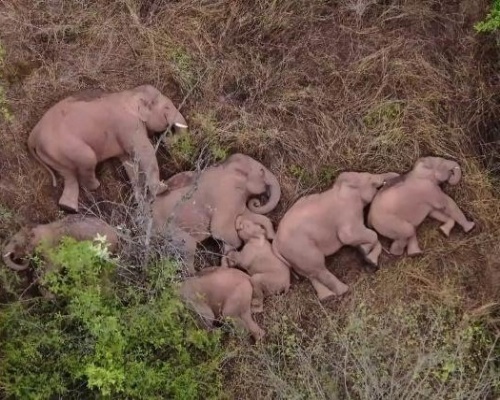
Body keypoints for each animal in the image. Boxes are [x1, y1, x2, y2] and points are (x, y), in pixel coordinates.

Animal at [29, 84, 189, 212]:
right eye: (167, 108)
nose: (167, 136)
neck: (130, 94)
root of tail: (33, 135)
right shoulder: (129, 125)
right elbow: (144, 151)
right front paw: (162, 188)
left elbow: (129, 162)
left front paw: (140, 202)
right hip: (65, 146)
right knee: (88, 160)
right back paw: (95, 186)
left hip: (53, 154)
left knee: (68, 175)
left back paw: (68, 208)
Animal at [151, 152, 282, 272]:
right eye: (262, 171)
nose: (257, 202)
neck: (225, 166)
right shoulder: (226, 196)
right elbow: (220, 231)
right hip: (169, 230)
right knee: (188, 247)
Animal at [272, 171, 400, 300]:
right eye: (369, 177)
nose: (396, 175)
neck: (340, 188)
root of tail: (275, 243)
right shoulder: (348, 213)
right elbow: (352, 236)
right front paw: (365, 252)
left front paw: (366, 254)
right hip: (301, 249)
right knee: (318, 268)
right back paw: (344, 290)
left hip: (294, 256)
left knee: (310, 273)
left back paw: (327, 297)